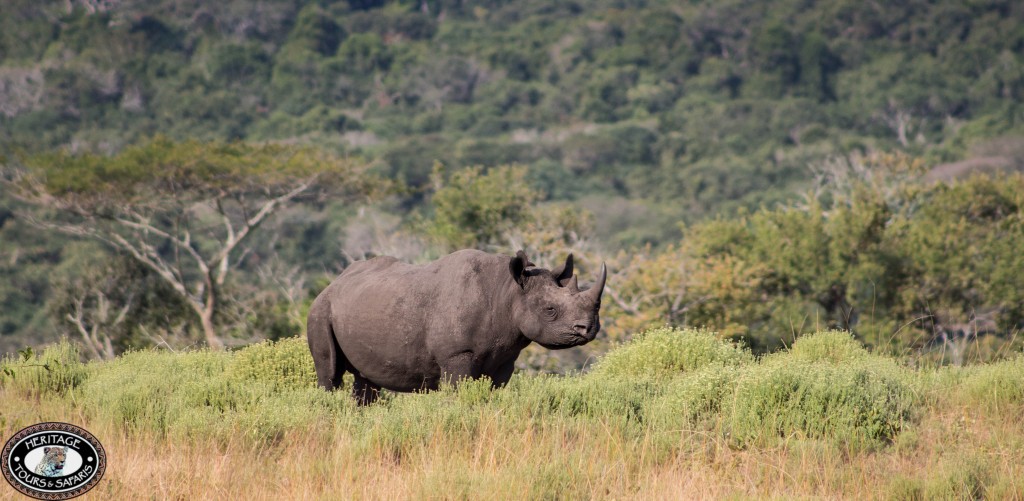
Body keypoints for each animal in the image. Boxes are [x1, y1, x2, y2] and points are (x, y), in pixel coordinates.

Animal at [307, 249, 606, 404]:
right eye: (550, 310)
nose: (588, 329)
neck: (506, 291)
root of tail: (333, 283)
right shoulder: (456, 354)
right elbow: (458, 393)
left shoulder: (505, 359)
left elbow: (492, 391)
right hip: (320, 310)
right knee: (329, 373)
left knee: (365, 381)